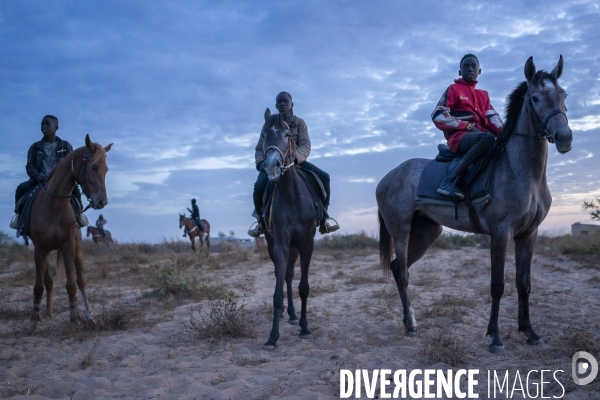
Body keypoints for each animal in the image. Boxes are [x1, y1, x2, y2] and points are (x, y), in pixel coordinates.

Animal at [28, 134, 113, 332]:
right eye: (94, 167)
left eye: (106, 170)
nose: (102, 202)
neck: (53, 205)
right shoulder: (39, 249)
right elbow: (39, 286)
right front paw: (34, 321)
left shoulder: (68, 245)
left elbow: (72, 284)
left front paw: (75, 319)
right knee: (48, 282)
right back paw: (48, 314)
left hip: (78, 248)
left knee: (81, 280)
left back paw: (89, 314)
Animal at [380, 56, 572, 354]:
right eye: (535, 98)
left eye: (564, 95)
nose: (565, 137)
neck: (522, 172)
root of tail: (386, 178)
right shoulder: (501, 234)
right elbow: (497, 285)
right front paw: (495, 337)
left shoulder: (529, 235)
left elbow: (524, 284)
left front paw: (529, 331)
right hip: (401, 231)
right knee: (401, 272)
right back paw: (411, 325)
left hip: (426, 233)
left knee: (399, 268)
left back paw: (407, 321)